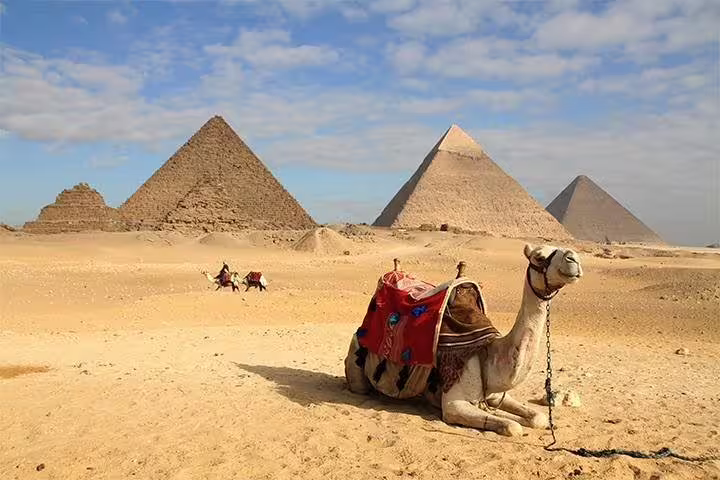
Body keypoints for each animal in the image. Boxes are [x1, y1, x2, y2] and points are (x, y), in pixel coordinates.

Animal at [344, 243, 583, 437]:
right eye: (539, 257)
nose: (574, 258)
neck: (490, 354)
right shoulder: (454, 405)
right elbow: (512, 426)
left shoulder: (495, 394)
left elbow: (537, 418)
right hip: (357, 358)